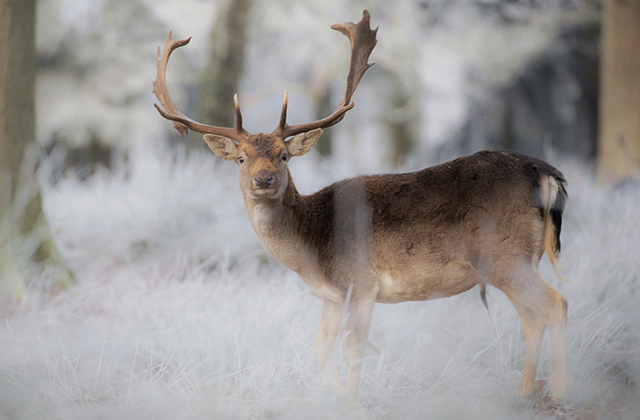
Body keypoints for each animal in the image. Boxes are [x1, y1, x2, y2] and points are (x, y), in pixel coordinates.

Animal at [152, 9, 568, 402]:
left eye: (284, 155)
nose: (263, 180)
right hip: (516, 260)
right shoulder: (331, 296)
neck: (311, 248)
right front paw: (336, 398)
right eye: (241, 159)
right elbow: (321, 351)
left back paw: (558, 395)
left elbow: (353, 350)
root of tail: (546, 174)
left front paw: (353, 402)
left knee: (555, 304)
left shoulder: (361, 282)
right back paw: (524, 396)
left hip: (504, 255)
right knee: (533, 318)